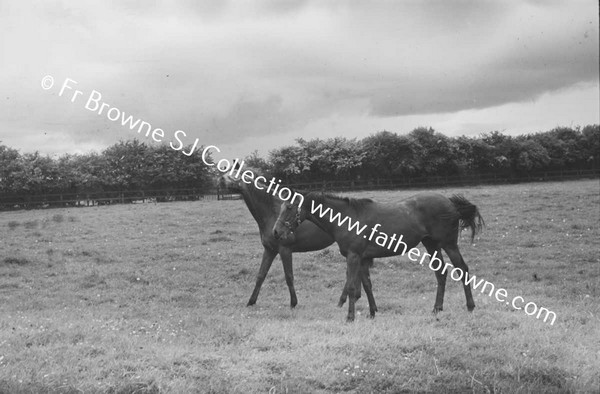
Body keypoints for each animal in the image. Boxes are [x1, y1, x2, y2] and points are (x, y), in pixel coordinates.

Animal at [218, 171, 372, 310]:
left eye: (234, 175)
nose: (220, 179)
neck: (272, 212)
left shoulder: (285, 250)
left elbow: (289, 276)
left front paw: (293, 303)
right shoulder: (269, 250)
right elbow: (261, 275)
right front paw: (251, 301)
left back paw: (344, 300)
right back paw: (353, 298)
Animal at [274, 192, 486, 322]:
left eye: (290, 207)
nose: (276, 232)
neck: (348, 218)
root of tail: (450, 203)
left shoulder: (353, 257)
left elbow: (352, 287)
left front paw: (350, 317)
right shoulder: (362, 259)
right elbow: (367, 285)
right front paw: (372, 312)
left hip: (449, 245)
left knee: (462, 270)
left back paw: (470, 306)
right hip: (431, 245)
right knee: (441, 274)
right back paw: (436, 308)